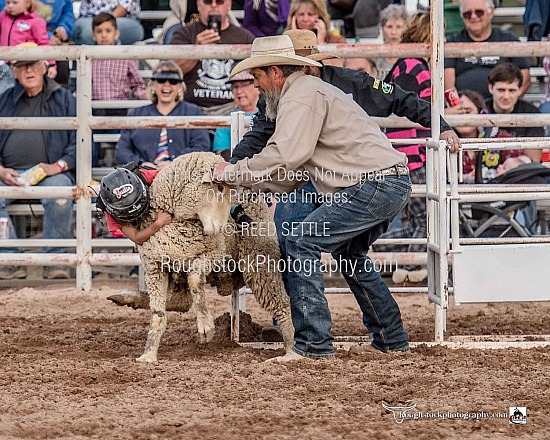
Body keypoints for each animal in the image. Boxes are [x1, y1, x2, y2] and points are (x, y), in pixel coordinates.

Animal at [109, 152, 296, 364]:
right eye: (219, 187)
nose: (223, 227)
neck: (180, 224)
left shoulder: (213, 254)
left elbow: (195, 279)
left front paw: (206, 327)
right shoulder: (155, 266)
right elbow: (158, 313)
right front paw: (148, 354)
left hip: (259, 260)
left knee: (281, 301)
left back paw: (290, 347)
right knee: (181, 302)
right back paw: (126, 297)